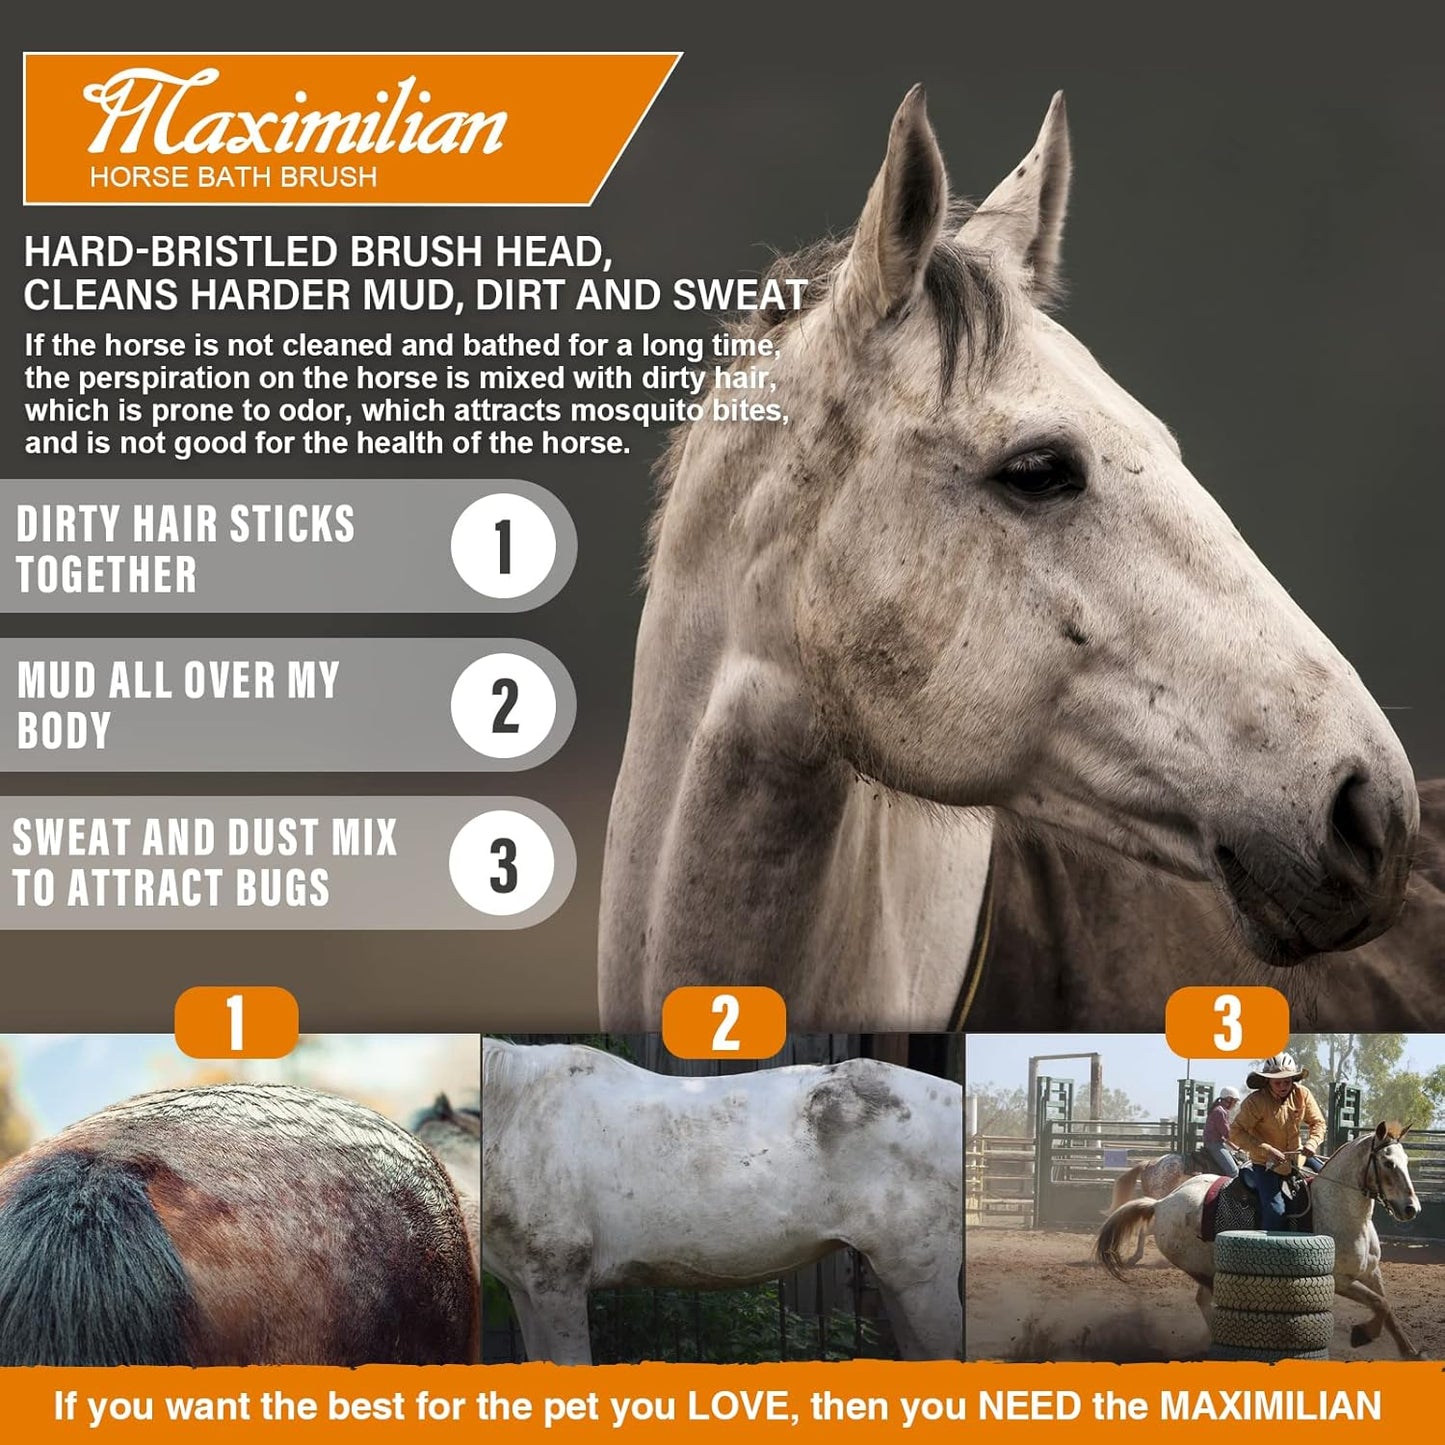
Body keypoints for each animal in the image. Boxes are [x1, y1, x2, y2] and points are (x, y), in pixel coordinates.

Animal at [1095, 1123, 1423, 1358]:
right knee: (1207, 1300)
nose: (1411, 1209)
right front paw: (1363, 1335)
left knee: (1203, 1299)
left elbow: (1386, 1306)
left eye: (1406, 1160)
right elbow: (1379, 1304)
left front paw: (1409, 1351)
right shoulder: (1340, 1280)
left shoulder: (1372, 1272)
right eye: (1388, 1163)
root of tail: (1162, 1204)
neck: (1342, 1210)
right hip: (1202, 1267)